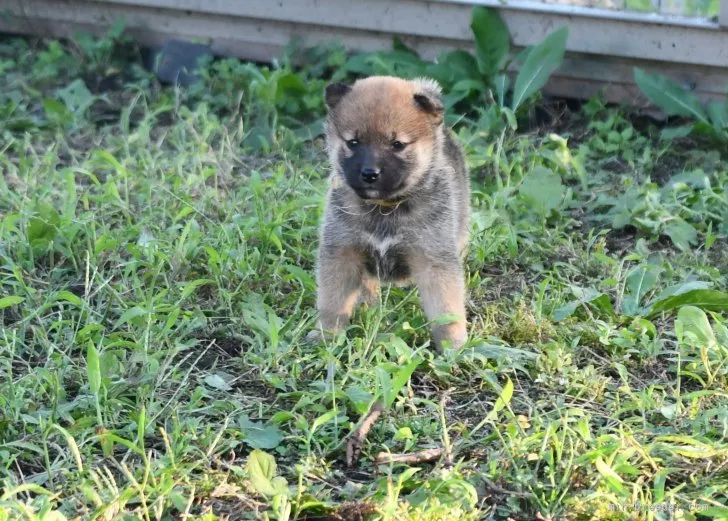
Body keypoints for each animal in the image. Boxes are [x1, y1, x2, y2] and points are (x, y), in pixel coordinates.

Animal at [308, 75, 470, 350]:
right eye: (353, 142)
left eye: (397, 145)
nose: (369, 173)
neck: (385, 208)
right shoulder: (343, 252)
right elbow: (333, 302)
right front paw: (327, 335)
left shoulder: (433, 259)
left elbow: (446, 310)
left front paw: (454, 346)